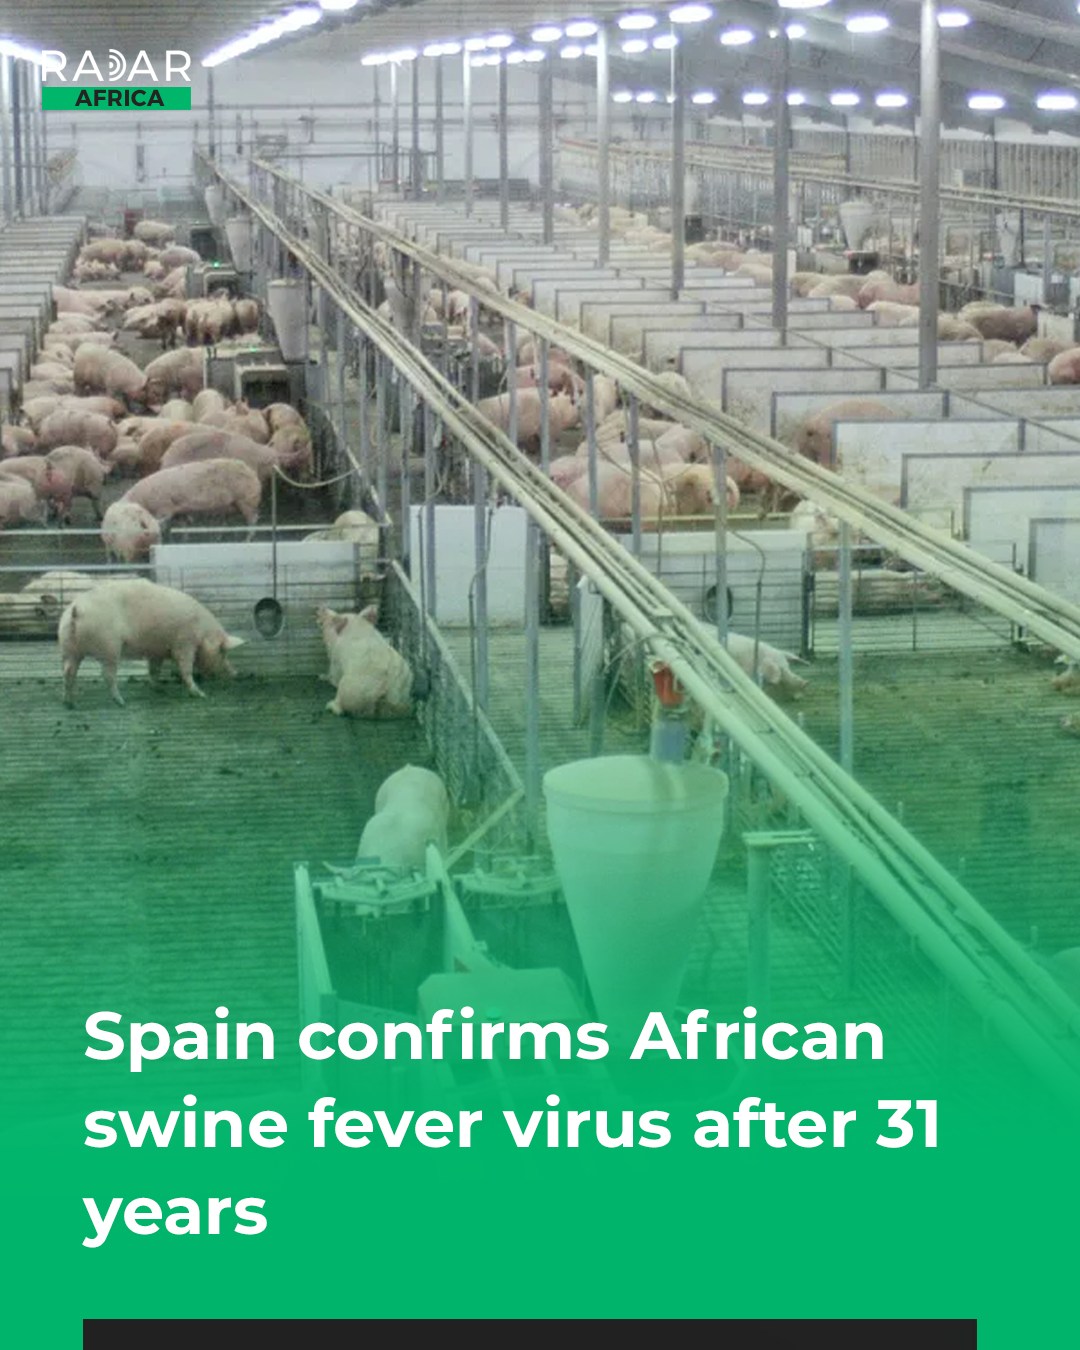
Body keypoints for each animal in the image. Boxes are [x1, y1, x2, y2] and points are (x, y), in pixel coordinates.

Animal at [58, 578, 245, 707]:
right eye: (223, 651)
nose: (236, 673)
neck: (203, 632)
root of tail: (76, 610)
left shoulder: (156, 651)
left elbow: (154, 670)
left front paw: (159, 688)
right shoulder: (184, 643)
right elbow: (185, 669)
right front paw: (200, 694)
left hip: (69, 647)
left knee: (68, 671)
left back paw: (70, 702)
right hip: (109, 647)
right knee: (107, 675)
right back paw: (121, 702)